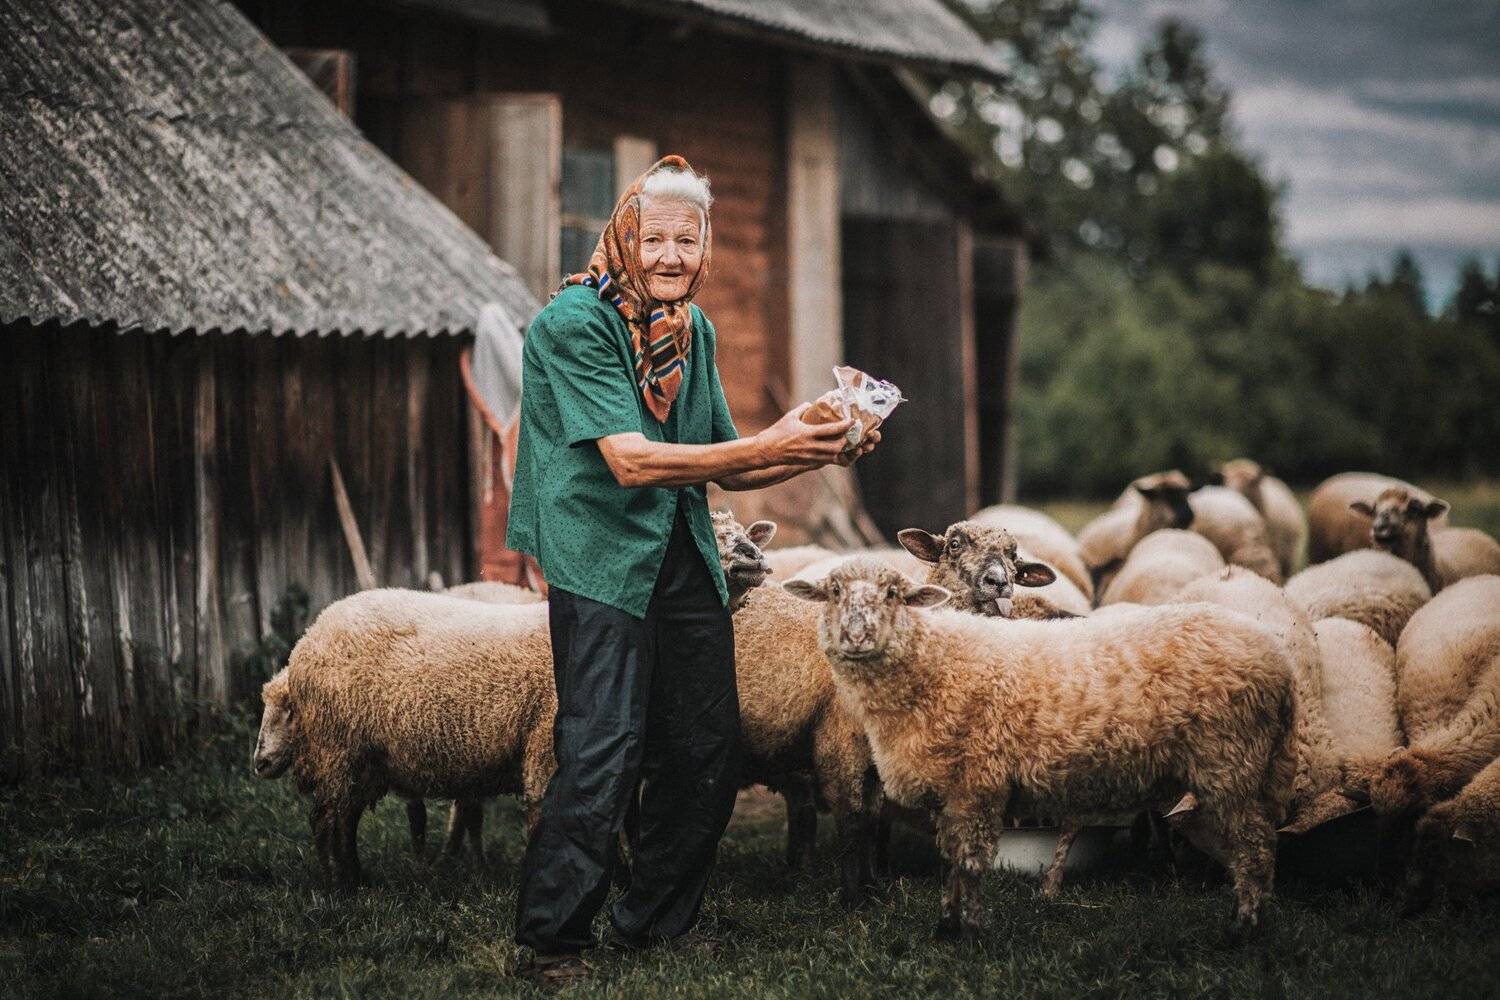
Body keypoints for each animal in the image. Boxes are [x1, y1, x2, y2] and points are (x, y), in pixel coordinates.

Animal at [785, 559, 1296, 941]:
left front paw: (969, 934)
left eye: (892, 593)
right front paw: (946, 926)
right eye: (833, 592)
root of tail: (1277, 661)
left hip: (1230, 759)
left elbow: (970, 861)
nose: (856, 636)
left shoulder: (979, 781)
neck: (933, 667)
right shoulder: (953, 790)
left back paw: (1243, 929)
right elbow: (950, 860)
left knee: (1255, 847)